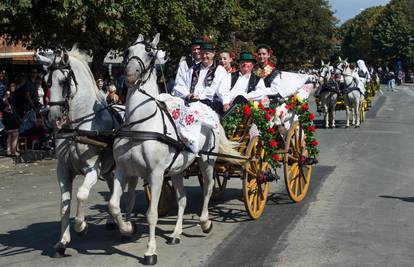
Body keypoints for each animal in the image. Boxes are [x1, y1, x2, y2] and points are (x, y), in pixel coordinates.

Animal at [37, 49, 122, 258]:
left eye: (64, 81)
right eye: (46, 82)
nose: (53, 116)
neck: (77, 128)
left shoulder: (92, 170)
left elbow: (81, 195)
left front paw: (81, 226)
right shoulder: (63, 170)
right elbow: (64, 203)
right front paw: (62, 242)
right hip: (109, 168)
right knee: (112, 188)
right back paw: (111, 221)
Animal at [110, 34, 241, 266]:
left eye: (150, 53)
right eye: (127, 51)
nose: (130, 76)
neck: (139, 126)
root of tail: (211, 113)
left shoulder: (155, 174)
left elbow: (151, 214)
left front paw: (150, 251)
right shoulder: (123, 170)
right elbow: (115, 205)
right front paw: (126, 228)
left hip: (207, 161)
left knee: (208, 189)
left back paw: (205, 222)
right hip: (178, 169)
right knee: (182, 199)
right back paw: (175, 234)